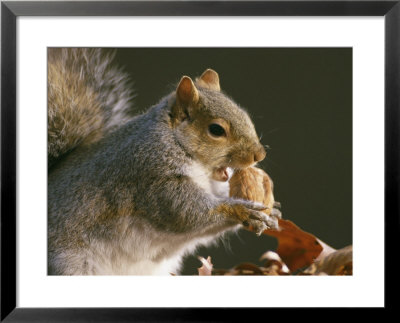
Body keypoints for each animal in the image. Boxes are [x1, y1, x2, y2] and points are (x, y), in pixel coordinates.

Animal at [47, 48, 278, 276]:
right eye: (216, 130)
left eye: (244, 114)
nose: (259, 155)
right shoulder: (152, 175)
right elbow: (185, 211)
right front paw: (242, 210)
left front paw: (271, 210)